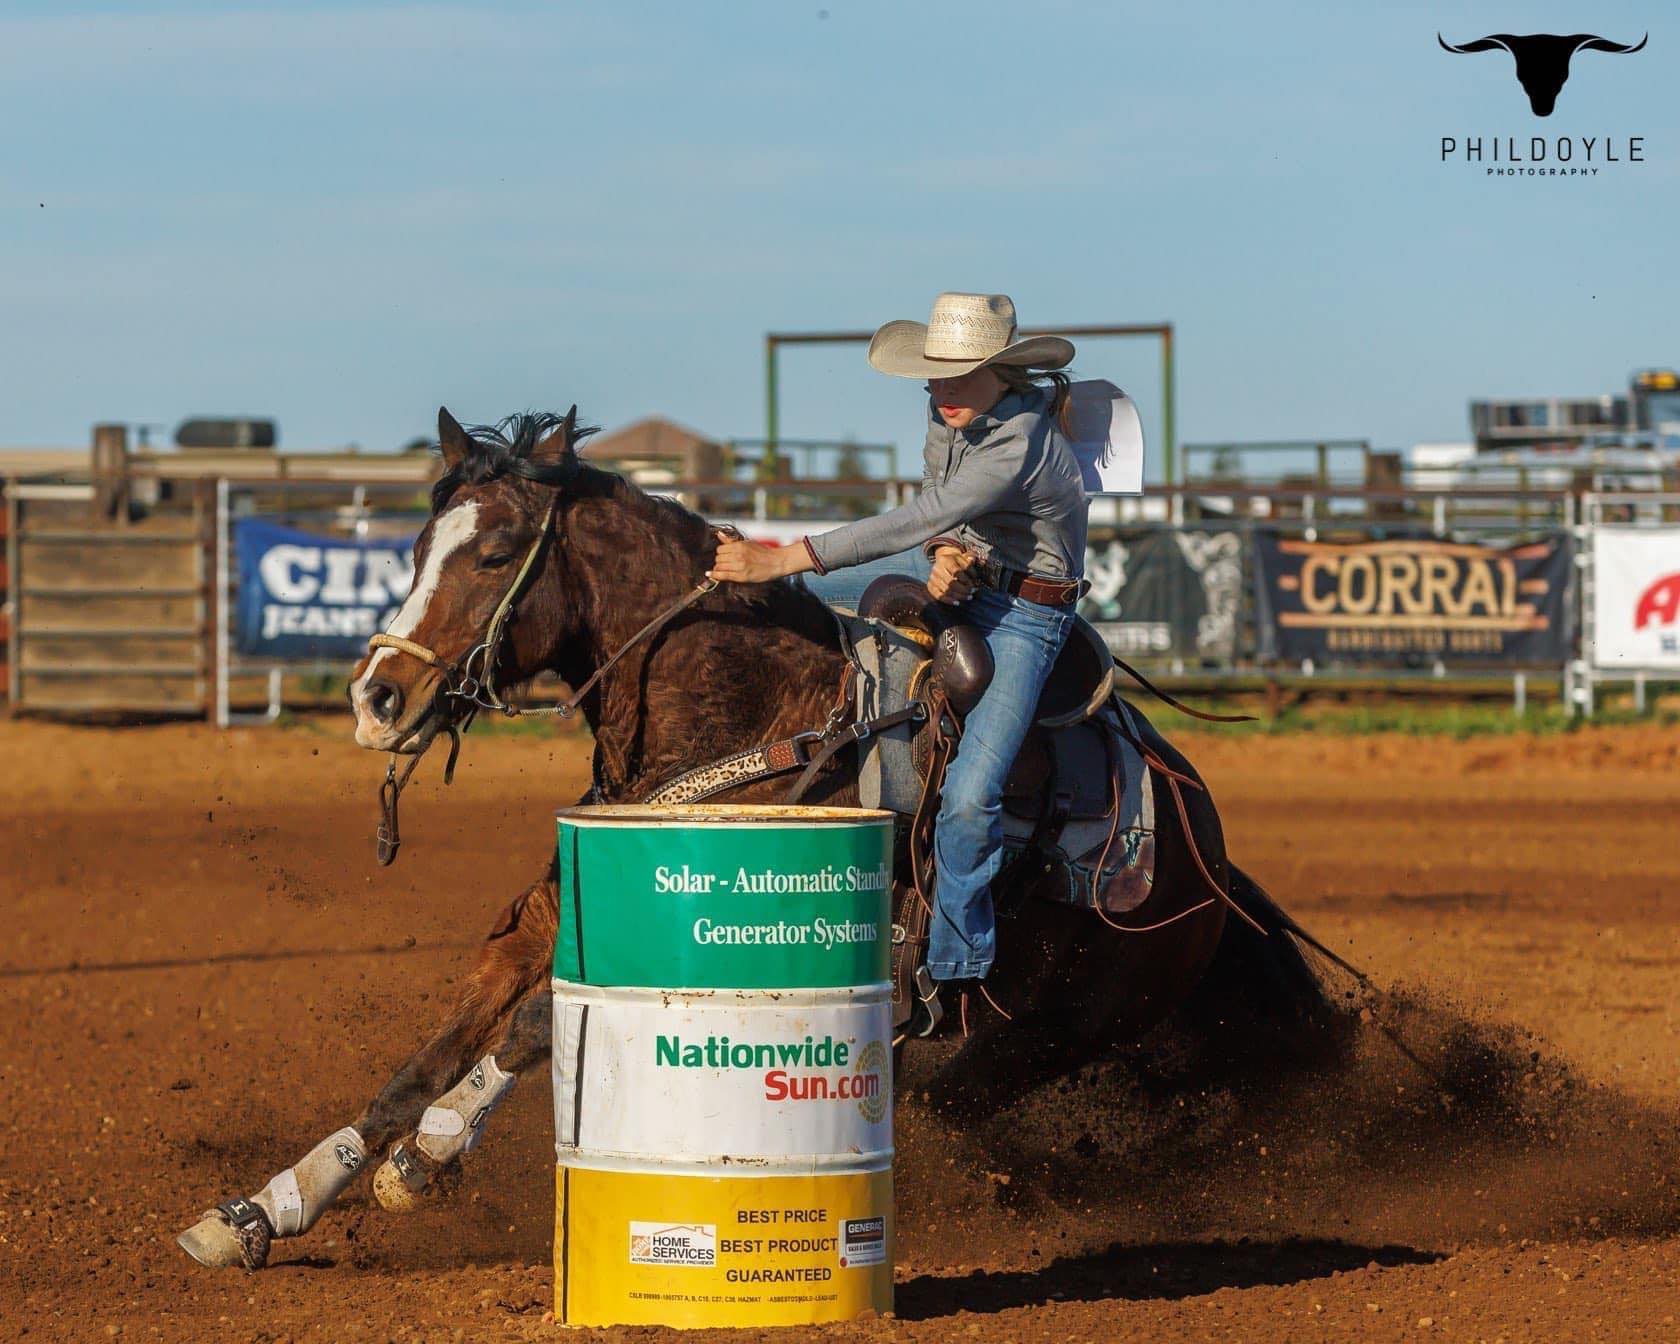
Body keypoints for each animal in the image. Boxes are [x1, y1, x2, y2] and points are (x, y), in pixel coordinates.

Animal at [177, 407, 1332, 1272]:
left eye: (497, 552)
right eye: (417, 548)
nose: (377, 697)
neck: (749, 711)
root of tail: (1206, 851)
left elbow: (531, 1030)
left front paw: (430, 1157)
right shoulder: (556, 911)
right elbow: (431, 1056)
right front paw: (265, 1207)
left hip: (1063, 1029)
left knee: (962, 1098)